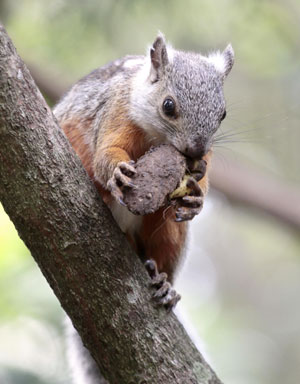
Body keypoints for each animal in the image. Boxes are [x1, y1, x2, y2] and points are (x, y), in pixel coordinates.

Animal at [52, 33, 233, 384]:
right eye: (169, 106)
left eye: (223, 114)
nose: (195, 150)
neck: (157, 138)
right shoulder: (117, 112)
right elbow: (107, 151)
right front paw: (116, 172)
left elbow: (202, 180)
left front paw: (197, 197)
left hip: (168, 232)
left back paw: (163, 283)